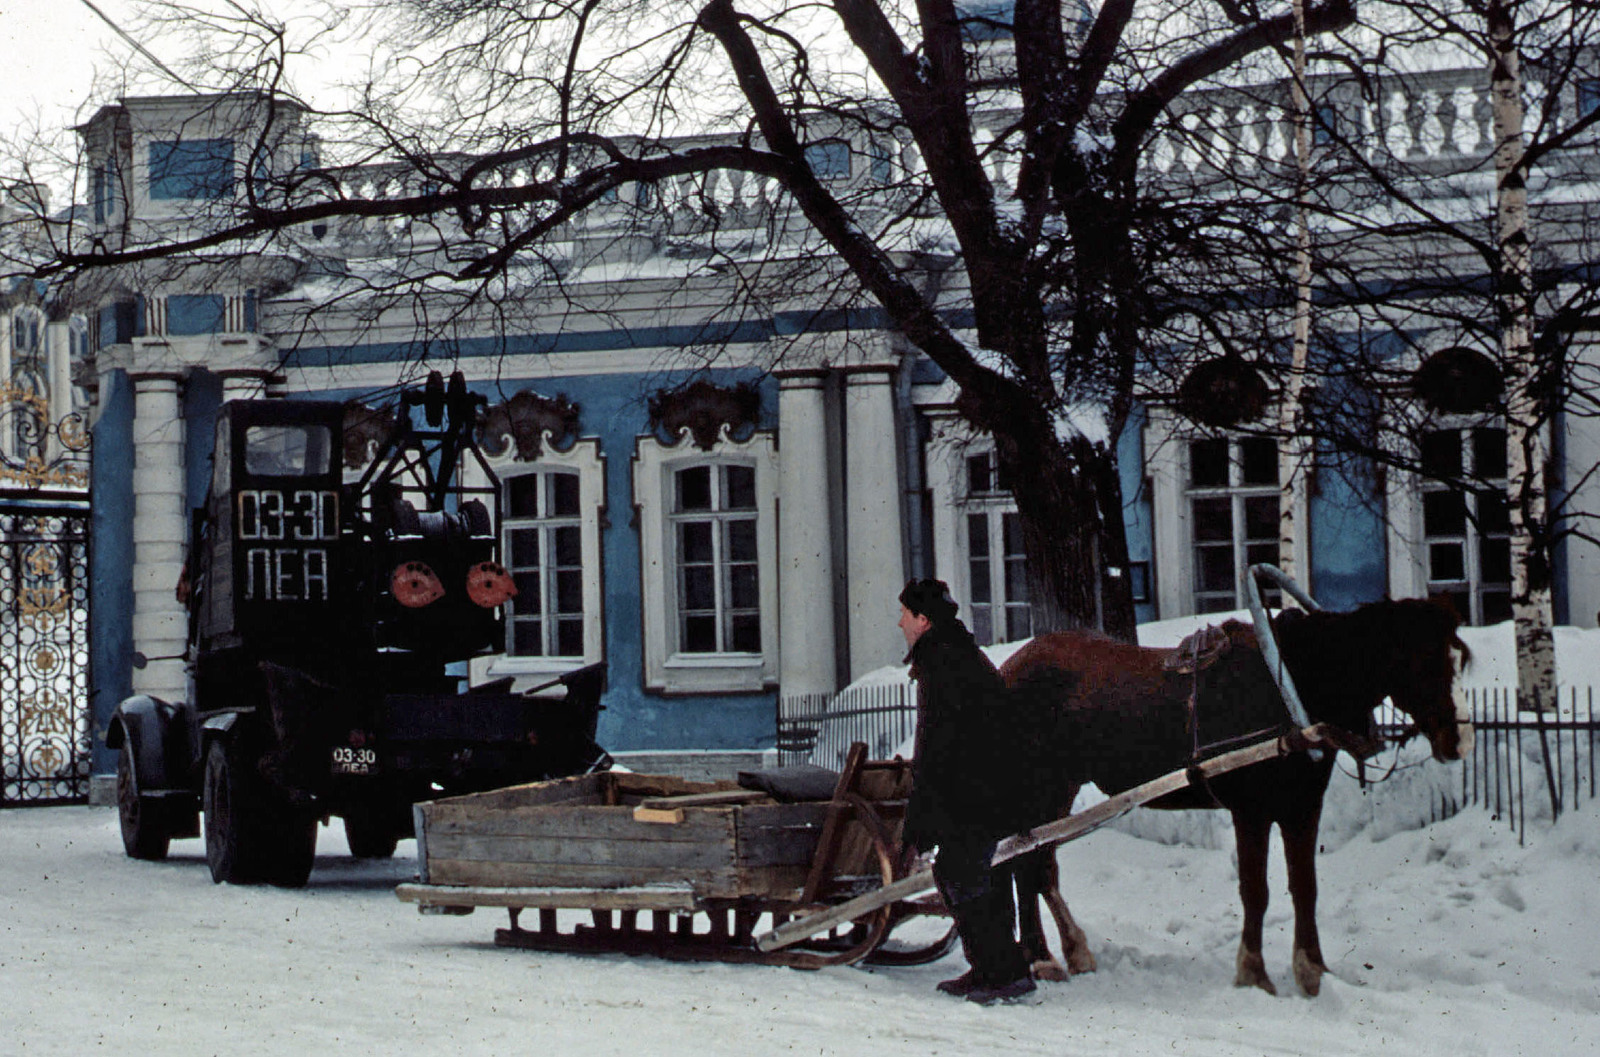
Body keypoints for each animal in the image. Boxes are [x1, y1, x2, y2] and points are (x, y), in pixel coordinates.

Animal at [998, 598, 1472, 991]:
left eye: (1460, 658)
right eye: (1427, 662)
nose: (1461, 742)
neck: (1294, 685)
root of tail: (1009, 668)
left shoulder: (1302, 807)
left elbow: (1305, 886)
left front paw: (1312, 971)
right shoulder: (1252, 811)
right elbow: (1255, 890)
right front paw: (1253, 973)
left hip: (1058, 790)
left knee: (1040, 864)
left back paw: (1072, 952)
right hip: (1039, 786)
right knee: (1026, 865)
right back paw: (1043, 959)